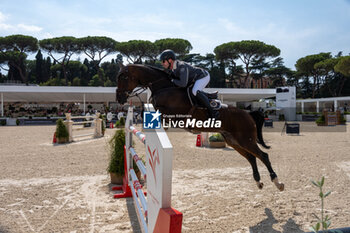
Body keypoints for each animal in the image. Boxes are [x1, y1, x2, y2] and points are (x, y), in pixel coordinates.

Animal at [117, 63, 284, 191]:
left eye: (123, 77)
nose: (119, 98)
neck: (163, 87)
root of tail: (248, 114)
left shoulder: (174, 113)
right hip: (234, 141)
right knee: (252, 157)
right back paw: (258, 181)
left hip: (245, 139)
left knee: (263, 156)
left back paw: (277, 182)